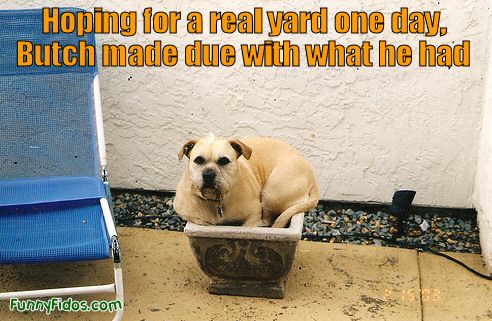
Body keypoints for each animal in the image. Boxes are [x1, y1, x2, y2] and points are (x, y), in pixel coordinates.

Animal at [173, 135, 320, 228]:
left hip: (272, 193)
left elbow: (248, 224)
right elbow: (201, 219)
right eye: (198, 160)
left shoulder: (253, 214)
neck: (216, 201)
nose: (208, 174)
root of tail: (312, 176)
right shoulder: (189, 215)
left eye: (224, 161)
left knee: (268, 219)